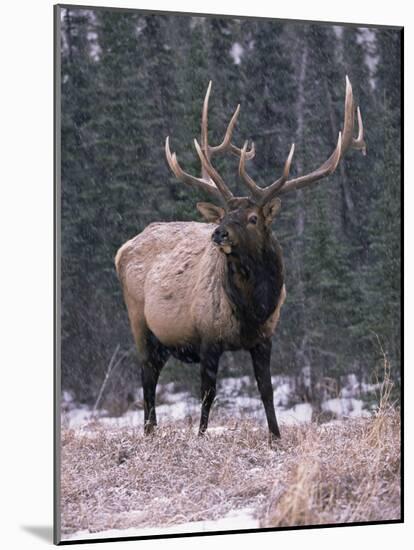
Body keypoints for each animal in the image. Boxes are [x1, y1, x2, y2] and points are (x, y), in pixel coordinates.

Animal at [115, 75, 364, 442]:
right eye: (224, 214)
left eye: (253, 218)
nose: (218, 233)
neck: (252, 308)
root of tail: (123, 248)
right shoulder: (207, 337)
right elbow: (208, 393)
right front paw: (201, 436)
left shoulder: (265, 338)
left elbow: (267, 390)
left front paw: (276, 437)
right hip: (140, 322)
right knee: (147, 376)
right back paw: (148, 432)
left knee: (152, 374)